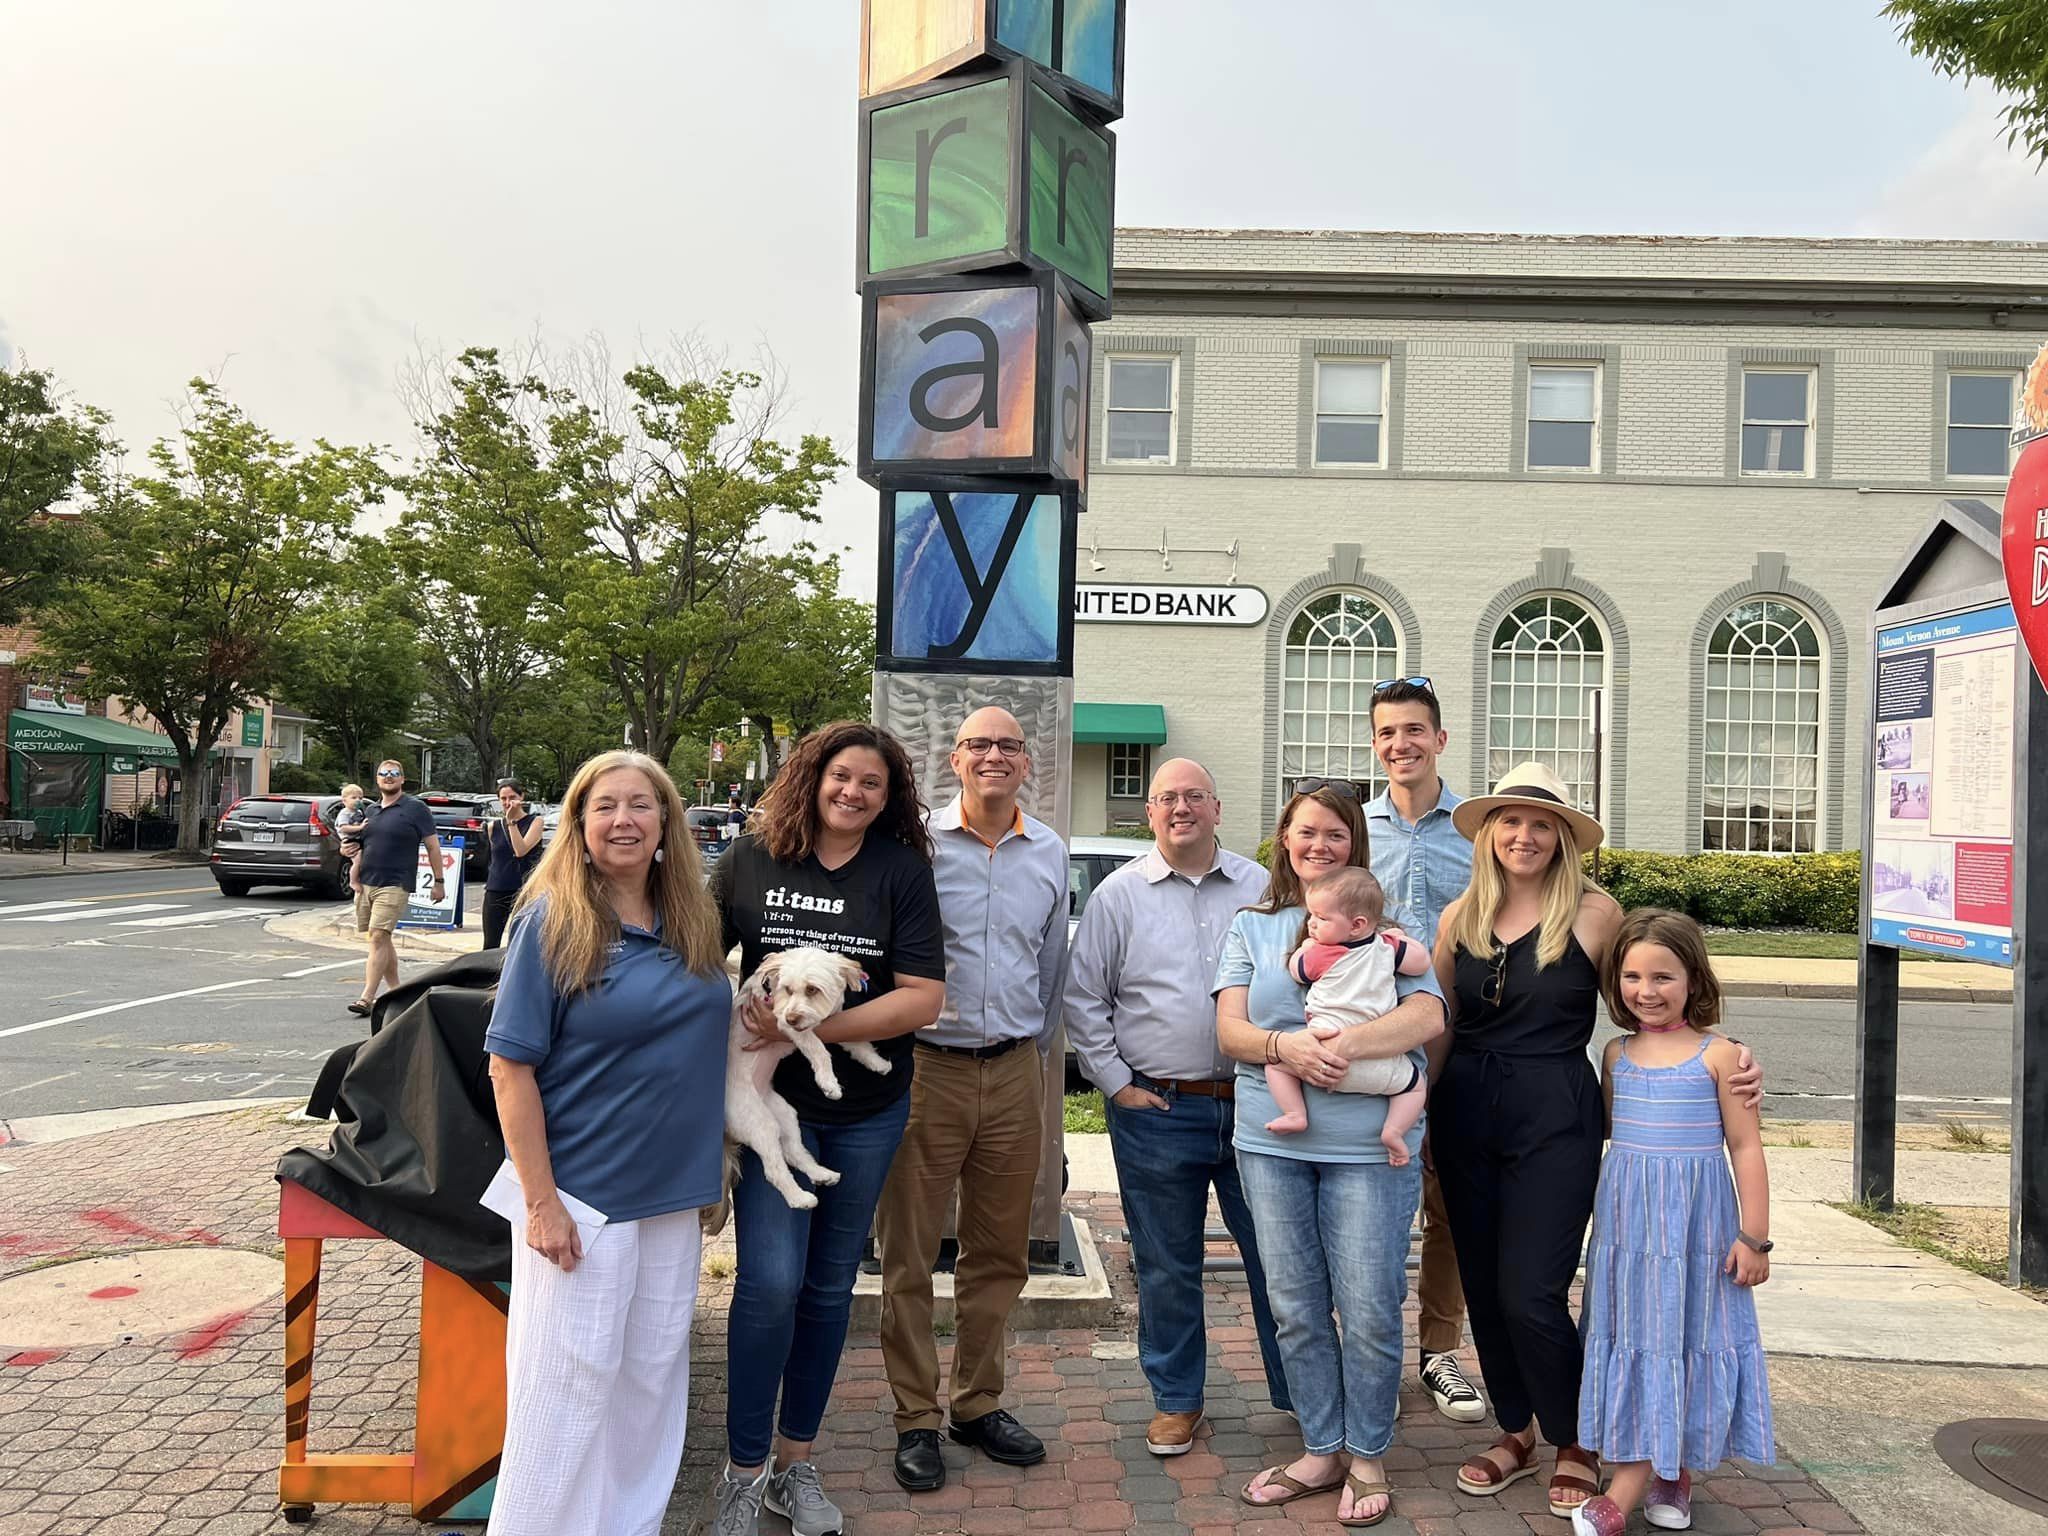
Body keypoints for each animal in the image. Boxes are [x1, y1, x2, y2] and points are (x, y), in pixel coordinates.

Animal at [712, 946, 888, 1220]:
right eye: (787, 989)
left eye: (812, 989)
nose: (793, 1016)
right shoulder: (784, 1025)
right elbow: (817, 1048)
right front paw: (828, 1083)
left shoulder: (831, 1022)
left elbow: (856, 1042)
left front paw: (877, 1062)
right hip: (759, 1122)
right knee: (774, 1169)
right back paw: (799, 1198)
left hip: (785, 1114)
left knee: (794, 1152)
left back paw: (821, 1173)